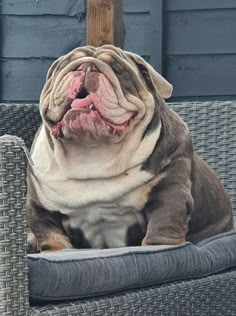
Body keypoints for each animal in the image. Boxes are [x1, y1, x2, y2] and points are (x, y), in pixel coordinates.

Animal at [26, 45, 233, 252]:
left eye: (118, 69)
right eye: (65, 66)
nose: (86, 66)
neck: (93, 151)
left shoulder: (169, 190)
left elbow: (163, 227)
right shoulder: (41, 207)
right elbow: (52, 237)